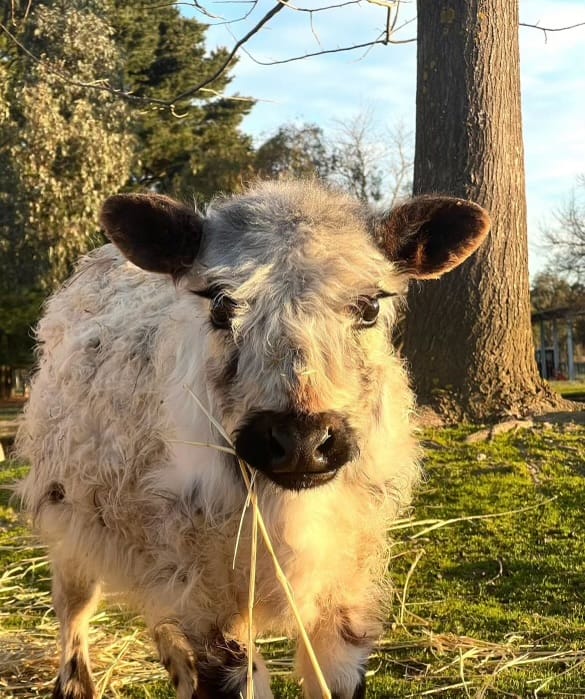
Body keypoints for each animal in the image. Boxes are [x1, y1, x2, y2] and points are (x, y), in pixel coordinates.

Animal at [16, 180, 489, 699]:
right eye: (221, 305)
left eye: (369, 307)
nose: (301, 440)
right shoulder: (208, 600)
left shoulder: (346, 589)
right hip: (70, 526)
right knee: (73, 612)